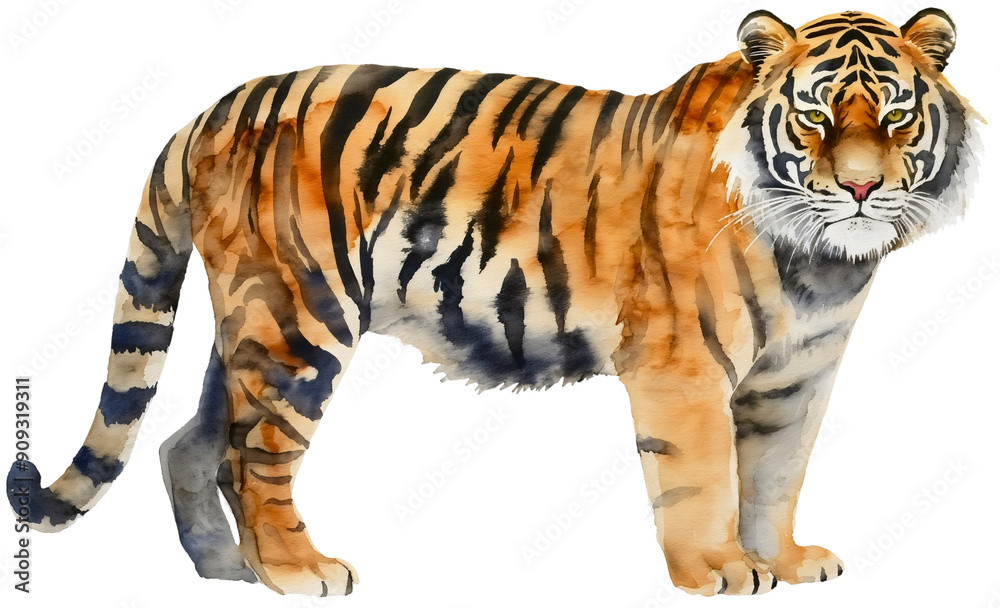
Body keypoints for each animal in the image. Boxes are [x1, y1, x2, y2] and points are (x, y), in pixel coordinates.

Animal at [5, 7, 980, 598]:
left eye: (895, 118)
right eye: (815, 118)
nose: (859, 190)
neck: (821, 262)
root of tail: (206, 112)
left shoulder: (797, 377)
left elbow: (776, 474)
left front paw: (783, 561)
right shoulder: (684, 369)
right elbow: (706, 479)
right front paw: (720, 570)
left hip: (250, 321)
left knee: (187, 440)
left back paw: (225, 569)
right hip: (299, 321)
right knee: (254, 456)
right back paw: (295, 571)